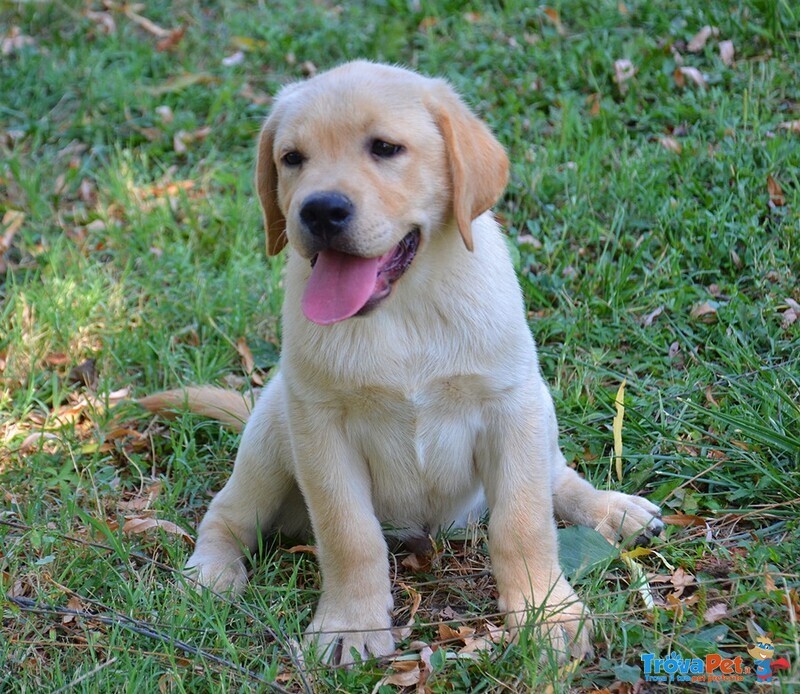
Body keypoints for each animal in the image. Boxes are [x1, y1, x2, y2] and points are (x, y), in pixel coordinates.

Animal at [144, 62, 664, 668]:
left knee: (554, 476)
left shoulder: (511, 405)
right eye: (292, 158)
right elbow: (349, 534)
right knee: (225, 514)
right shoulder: (320, 426)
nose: (319, 210)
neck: (403, 310)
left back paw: (614, 510)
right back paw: (210, 574)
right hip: (272, 436)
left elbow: (522, 522)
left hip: (540, 405)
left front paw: (546, 612)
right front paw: (350, 625)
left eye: (386, 148)